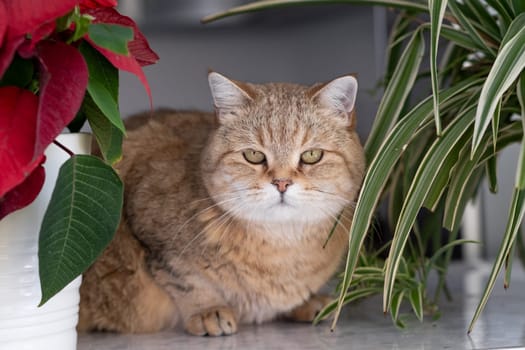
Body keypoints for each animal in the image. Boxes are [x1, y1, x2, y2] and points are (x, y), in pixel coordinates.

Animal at [78, 71, 364, 336]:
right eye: (253, 155)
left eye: (312, 155)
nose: (282, 183)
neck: (280, 249)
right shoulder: (149, 230)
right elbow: (185, 279)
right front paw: (208, 310)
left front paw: (307, 303)